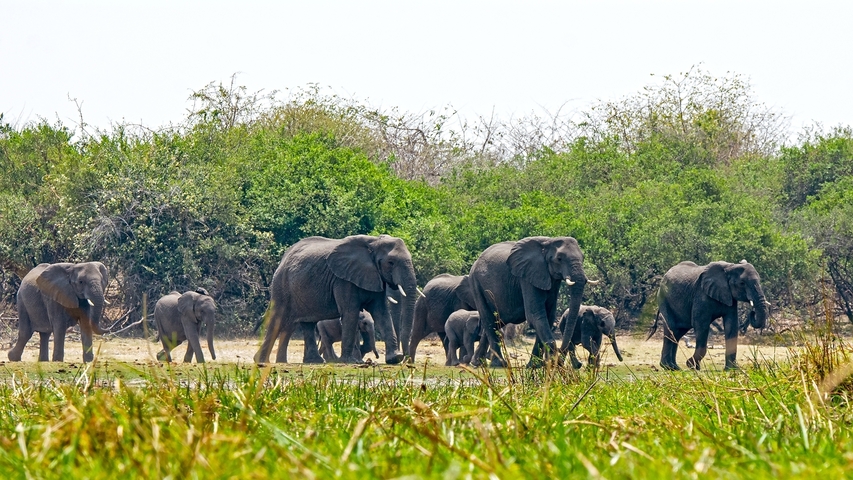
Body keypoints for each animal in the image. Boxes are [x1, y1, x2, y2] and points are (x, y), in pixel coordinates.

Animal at [254, 235, 417, 365]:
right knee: (278, 318)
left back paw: (315, 361)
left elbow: (382, 313)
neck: (374, 242)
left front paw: (394, 359)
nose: (406, 359)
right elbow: (350, 312)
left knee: (308, 323)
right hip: (282, 284)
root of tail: (283, 258)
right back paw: (261, 361)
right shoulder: (342, 280)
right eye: (391, 262)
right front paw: (351, 361)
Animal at [469, 236, 595, 368]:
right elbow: (535, 315)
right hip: (475, 284)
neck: (548, 242)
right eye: (559, 259)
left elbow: (548, 316)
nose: (579, 364)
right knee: (489, 320)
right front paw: (550, 364)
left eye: (583, 258)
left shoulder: (551, 280)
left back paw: (476, 363)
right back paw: (499, 364)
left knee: (497, 321)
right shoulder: (527, 278)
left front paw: (535, 365)